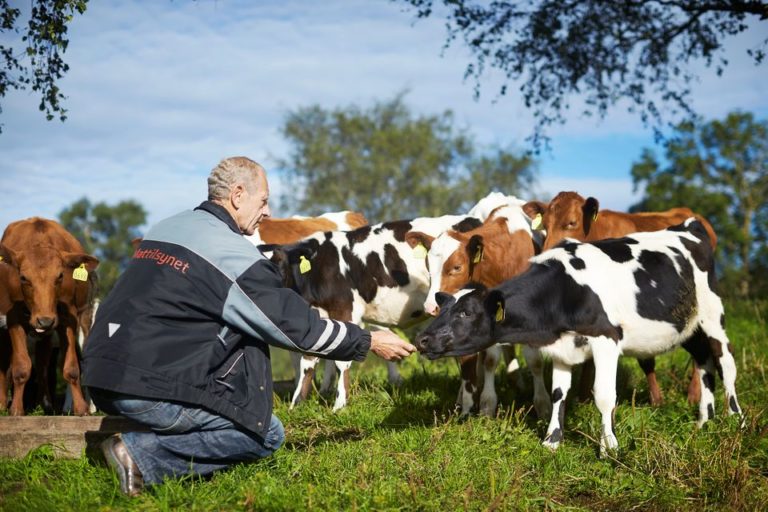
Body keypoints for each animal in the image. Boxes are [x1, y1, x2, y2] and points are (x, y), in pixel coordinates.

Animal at [0, 217, 99, 416]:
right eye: (23, 277)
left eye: (60, 276)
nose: (45, 320)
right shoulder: (13, 318)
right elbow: (21, 366)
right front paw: (16, 410)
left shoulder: (68, 317)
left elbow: (71, 367)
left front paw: (81, 409)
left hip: (82, 319)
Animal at [268, 214, 480, 410]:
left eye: (278, 268)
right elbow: (308, 360)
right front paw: (297, 404)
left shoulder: (345, 309)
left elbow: (340, 361)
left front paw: (339, 406)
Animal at [416, 219, 740, 456]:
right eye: (446, 308)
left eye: (466, 312)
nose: (422, 339)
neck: (565, 290)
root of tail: (687, 227)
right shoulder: (563, 347)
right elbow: (559, 394)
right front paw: (552, 440)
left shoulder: (607, 338)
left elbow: (605, 395)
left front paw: (609, 448)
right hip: (687, 326)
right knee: (703, 361)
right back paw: (704, 420)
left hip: (713, 314)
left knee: (725, 363)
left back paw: (736, 419)